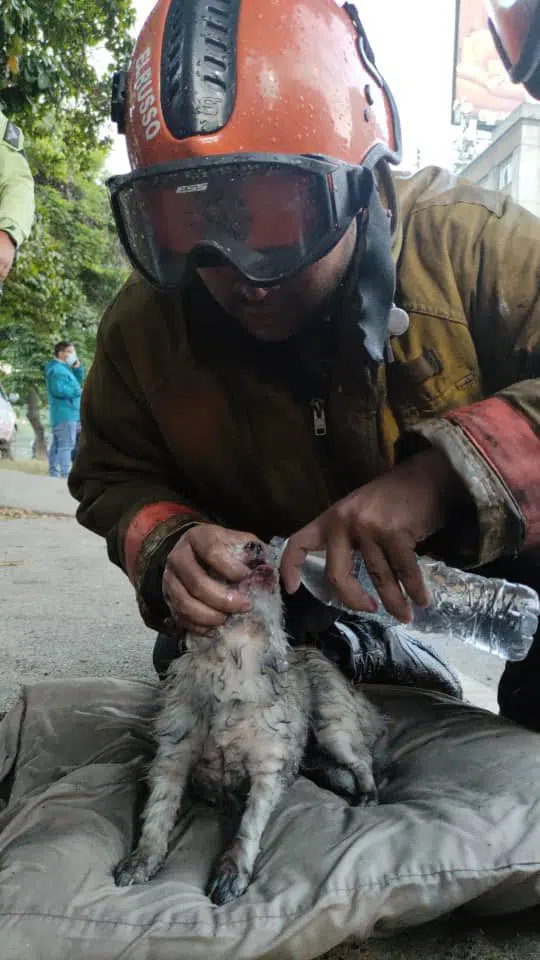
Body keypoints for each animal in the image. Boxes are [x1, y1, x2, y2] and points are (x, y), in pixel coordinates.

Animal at [114, 544, 386, 904]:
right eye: (208, 564)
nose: (256, 543)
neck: (236, 657)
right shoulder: (173, 754)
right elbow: (159, 809)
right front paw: (143, 858)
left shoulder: (267, 765)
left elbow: (250, 823)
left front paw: (232, 871)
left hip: (332, 726)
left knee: (361, 759)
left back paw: (367, 792)